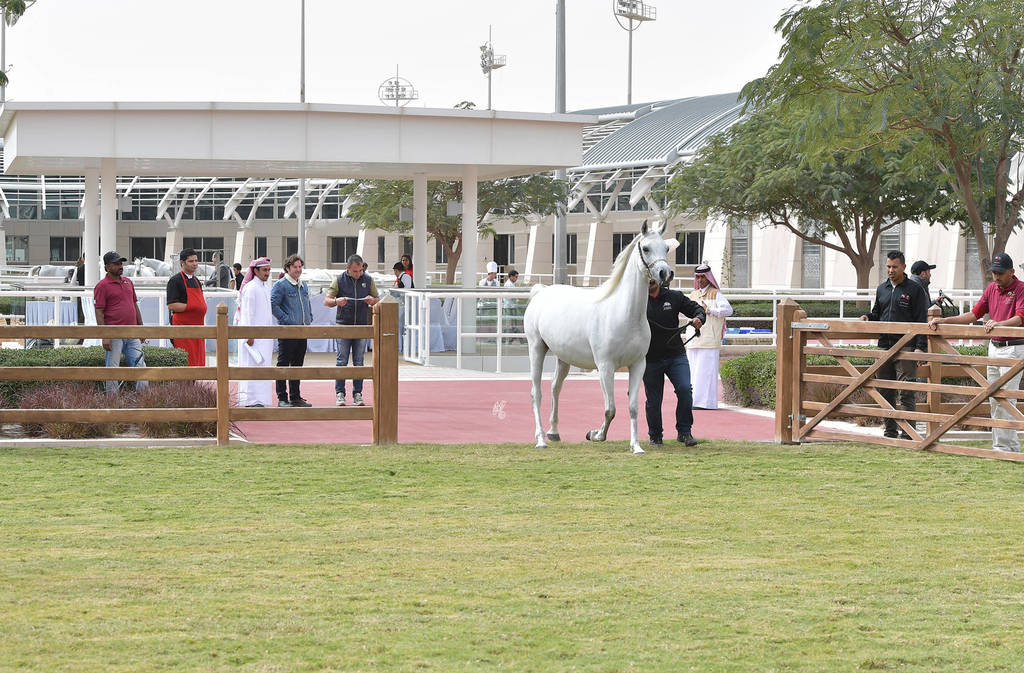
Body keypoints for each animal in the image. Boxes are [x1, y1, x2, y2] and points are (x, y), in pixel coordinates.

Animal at [524, 220, 675, 454]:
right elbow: (610, 409)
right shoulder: (605, 366)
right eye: (646, 248)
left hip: (563, 358)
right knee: (536, 393)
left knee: (555, 387)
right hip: (536, 349)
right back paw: (540, 439)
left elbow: (633, 407)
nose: (665, 274)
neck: (623, 313)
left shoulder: (638, 365)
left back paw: (554, 432)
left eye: (666, 248)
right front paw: (595, 434)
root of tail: (540, 292)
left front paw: (636, 446)